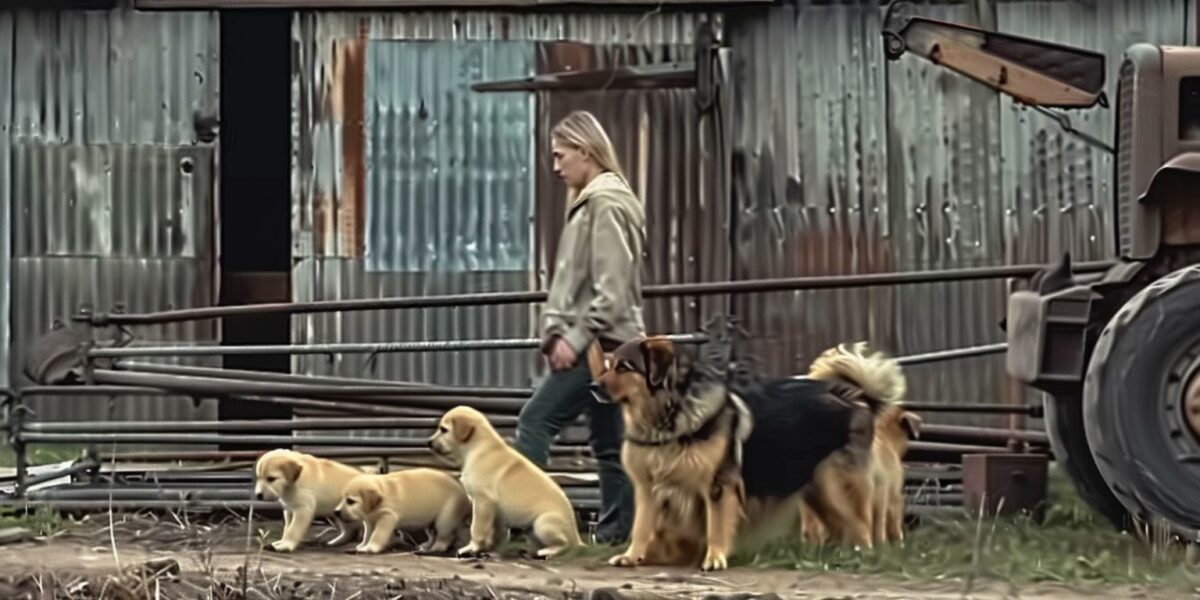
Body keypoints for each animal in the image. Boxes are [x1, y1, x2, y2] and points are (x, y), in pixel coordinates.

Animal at [336, 465, 475, 554]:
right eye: (342, 498)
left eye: (350, 501)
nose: (336, 512)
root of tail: (466, 497)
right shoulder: (370, 521)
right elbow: (367, 534)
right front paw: (363, 545)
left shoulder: (387, 517)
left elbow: (377, 534)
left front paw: (370, 548)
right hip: (431, 522)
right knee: (434, 535)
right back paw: (426, 546)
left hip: (445, 518)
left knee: (445, 536)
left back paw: (436, 548)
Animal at [429, 405, 583, 559]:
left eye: (443, 430)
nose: (428, 442)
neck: (478, 448)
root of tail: (578, 540)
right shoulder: (494, 512)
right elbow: (495, 533)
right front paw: (488, 550)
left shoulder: (482, 501)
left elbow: (477, 528)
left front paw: (472, 548)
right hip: (531, 529)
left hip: (543, 523)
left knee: (565, 546)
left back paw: (547, 552)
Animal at [590, 336, 902, 568]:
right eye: (608, 365)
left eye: (624, 367)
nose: (593, 385)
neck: (667, 412)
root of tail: (857, 399)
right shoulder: (648, 489)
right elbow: (641, 525)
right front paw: (632, 556)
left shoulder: (718, 485)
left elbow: (716, 524)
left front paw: (714, 558)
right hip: (820, 491)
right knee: (843, 526)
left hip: (836, 485)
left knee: (860, 526)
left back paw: (861, 555)